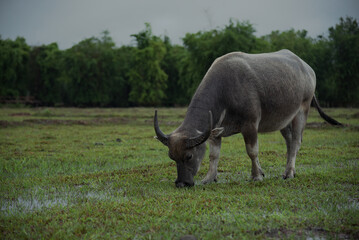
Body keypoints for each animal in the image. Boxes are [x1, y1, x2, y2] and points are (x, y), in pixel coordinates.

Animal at [153, 49, 342, 188]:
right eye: (172, 157)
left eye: (189, 156)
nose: (182, 183)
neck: (226, 91)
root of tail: (307, 68)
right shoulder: (215, 131)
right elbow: (214, 155)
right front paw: (209, 178)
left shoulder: (250, 125)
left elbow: (252, 151)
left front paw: (256, 176)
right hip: (284, 120)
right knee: (289, 142)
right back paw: (289, 170)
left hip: (302, 110)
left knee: (296, 141)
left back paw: (289, 173)